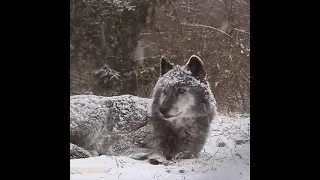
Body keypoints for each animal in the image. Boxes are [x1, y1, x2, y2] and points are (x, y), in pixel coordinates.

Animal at [69, 54, 216, 165]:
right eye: (165, 91)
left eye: (181, 91)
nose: (162, 110)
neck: (175, 129)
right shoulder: (120, 143)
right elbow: (155, 149)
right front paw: (157, 157)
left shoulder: (189, 152)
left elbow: (185, 153)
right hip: (97, 116)